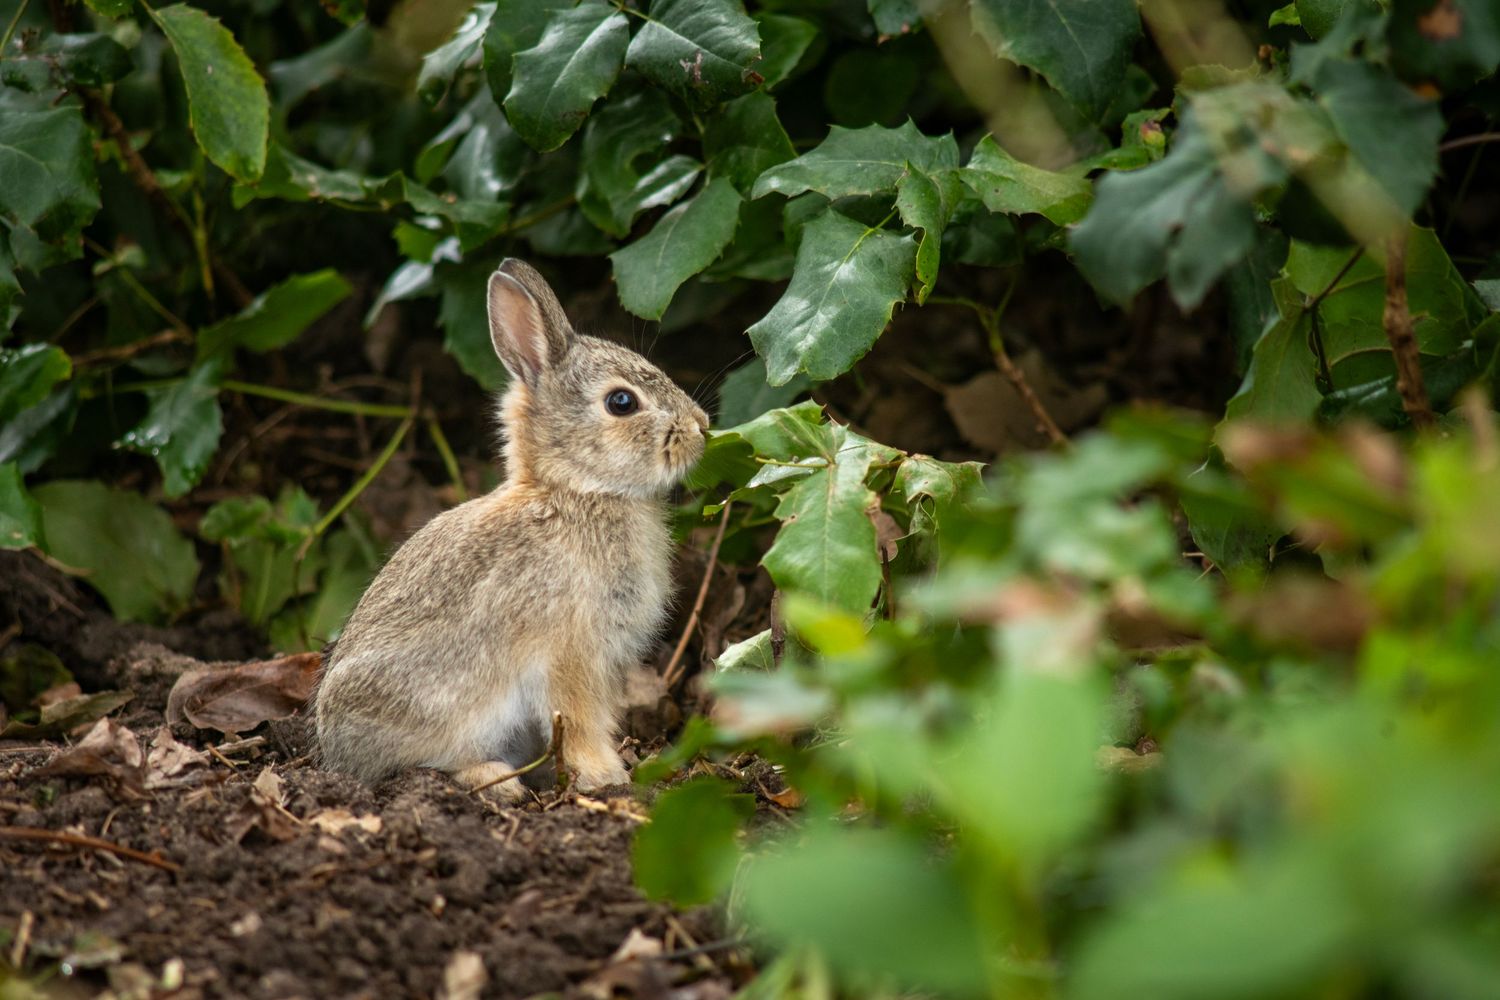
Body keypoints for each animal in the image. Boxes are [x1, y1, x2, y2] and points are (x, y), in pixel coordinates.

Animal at [314, 258, 709, 798]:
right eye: (622, 403)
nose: (701, 427)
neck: (573, 491)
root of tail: (333, 749)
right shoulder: (570, 652)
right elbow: (579, 718)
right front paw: (606, 776)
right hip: (448, 707)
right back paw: (498, 781)